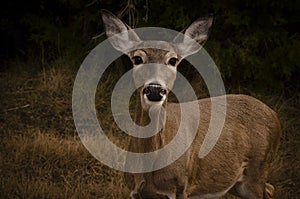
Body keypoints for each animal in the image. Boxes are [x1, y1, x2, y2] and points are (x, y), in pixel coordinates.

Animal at [101, 9, 282, 199]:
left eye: (173, 60)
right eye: (137, 59)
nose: (154, 90)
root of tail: (274, 115)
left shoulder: (182, 185)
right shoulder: (133, 189)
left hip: (258, 168)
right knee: (270, 188)